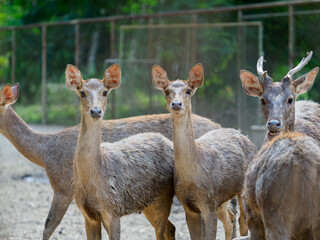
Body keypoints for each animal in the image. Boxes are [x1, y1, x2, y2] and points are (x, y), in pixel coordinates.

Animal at [64, 63, 179, 240]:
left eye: (105, 92)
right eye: (82, 92)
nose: (95, 111)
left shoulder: (114, 209)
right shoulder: (87, 214)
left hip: (163, 196)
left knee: (162, 230)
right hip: (148, 203)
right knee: (170, 227)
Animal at [152, 62, 258, 239]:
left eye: (188, 90)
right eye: (167, 91)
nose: (176, 104)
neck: (193, 175)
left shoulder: (209, 202)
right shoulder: (188, 206)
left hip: (242, 190)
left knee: (243, 221)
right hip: (222, 199)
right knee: (230, 218)